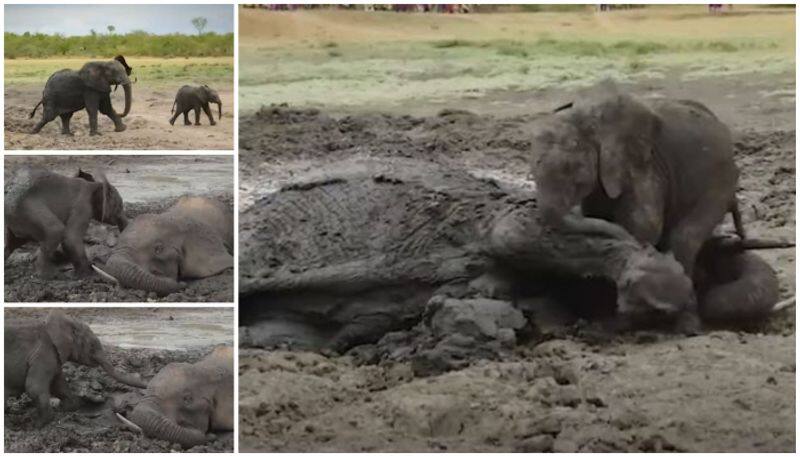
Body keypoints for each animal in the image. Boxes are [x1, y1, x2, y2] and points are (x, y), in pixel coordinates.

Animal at [4, 308, 148, 426]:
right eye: (92, 346)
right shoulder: (43, 353)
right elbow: (34, 387)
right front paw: (38, 424)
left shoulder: (52, 356)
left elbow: (58, 384)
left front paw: (66, 408)